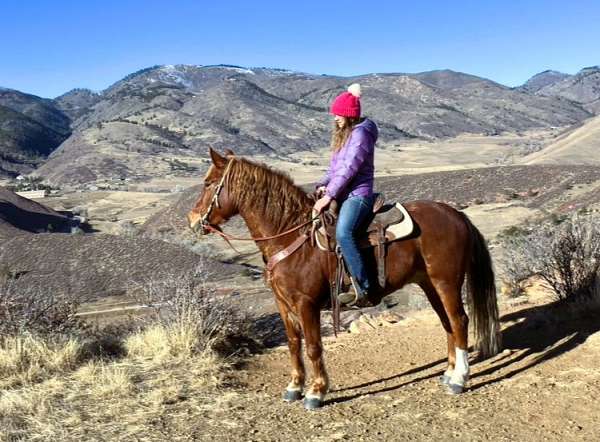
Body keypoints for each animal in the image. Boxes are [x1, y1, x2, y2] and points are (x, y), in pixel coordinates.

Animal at [188, 149, 502, 410]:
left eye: (208, 183)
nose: (192, 220)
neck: (290, 235)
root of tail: (456, 214)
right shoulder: (283, 303)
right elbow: (293, 343)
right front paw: (294, 387)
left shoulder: (306, 304)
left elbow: (313, 347)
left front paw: (316, 392)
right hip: (429, 284)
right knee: (447, 322)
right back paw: (448, 373)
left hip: (446, 281)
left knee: (459, 320)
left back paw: (460, 379)